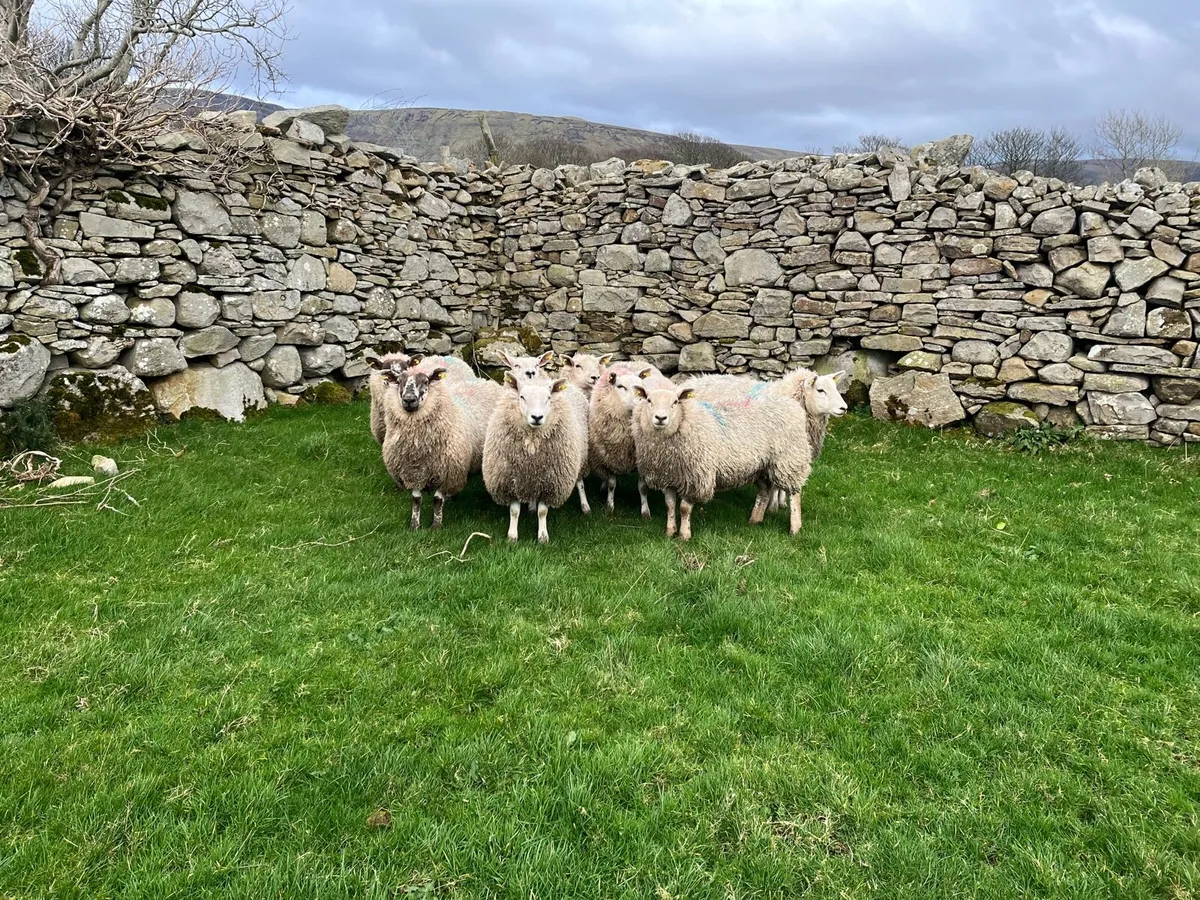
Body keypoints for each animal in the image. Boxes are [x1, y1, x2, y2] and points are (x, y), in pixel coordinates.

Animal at [378, 363, 503, 529]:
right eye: (399, 381)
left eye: (425, 381)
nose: (409, 400)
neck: (418, 448)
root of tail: (486, 381)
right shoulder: (413, 473)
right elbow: (416, 500)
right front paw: (414, 525)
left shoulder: (447, 471)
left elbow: (437, 501)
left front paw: (436, 526)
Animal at [482, 372, 589, 544]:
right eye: (522, 397)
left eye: (548, 398)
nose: (537, 417)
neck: (532, 440)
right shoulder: (511, 481)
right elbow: (514, 511)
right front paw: (512, 536)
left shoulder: (550, 483)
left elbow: (543, 512)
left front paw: (543, 537)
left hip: (580, 458)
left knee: (580, 484)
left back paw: (585, 506)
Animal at [588, 361, 671, 516]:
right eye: (620, 386)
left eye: (641, 387)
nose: (642, 401)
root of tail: (633, 362)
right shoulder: (610, 457)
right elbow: (612, 484)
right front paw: (610, 506)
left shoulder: (642, 460)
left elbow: (643, 487)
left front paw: (645, 511)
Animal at [631, 381, 812, 540]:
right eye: (649, 400)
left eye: (675, 402)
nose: (660, 418)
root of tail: (792, 405)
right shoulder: (668, 476)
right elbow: (669, 505)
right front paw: (670, 531)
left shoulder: (695, 478)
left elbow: (684, 509)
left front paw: (684, 535)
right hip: (760, 466)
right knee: (764, 491)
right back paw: (755, 519)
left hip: (789, 460)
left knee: (795, 494)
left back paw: (795, 527)